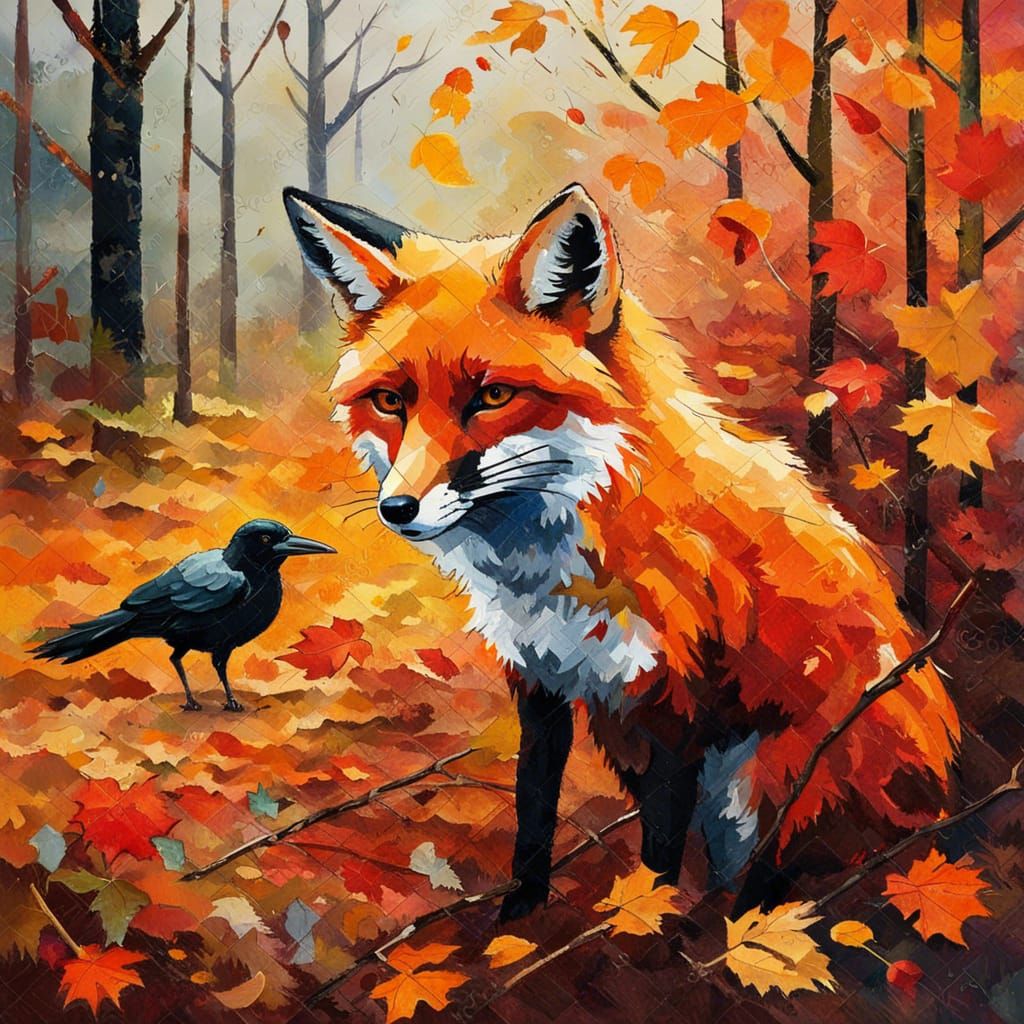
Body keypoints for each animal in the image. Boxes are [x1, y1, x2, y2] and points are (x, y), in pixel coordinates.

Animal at [284, 182, 960, 920]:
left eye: (493, 395)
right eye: (389, 401)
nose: (398, 509)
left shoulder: (675, 699)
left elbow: (659, 852)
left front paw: (647, 929)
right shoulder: (544, 680)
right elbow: (534, 815)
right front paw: (519, 921)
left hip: (784, 779)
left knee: (777, 880)